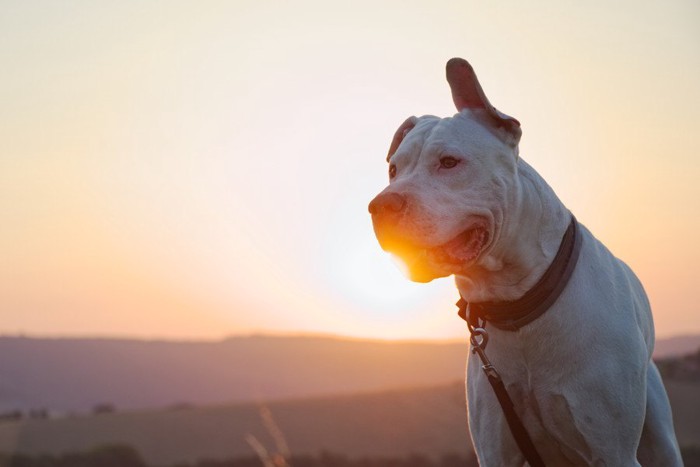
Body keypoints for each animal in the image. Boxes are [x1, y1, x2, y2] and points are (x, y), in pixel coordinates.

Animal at [370, 59, 680, 467]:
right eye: (393, 170)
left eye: (449, 162)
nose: (379, 207)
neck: (518, 300)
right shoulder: (495, 447)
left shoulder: (612, 450)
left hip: (660, 434)